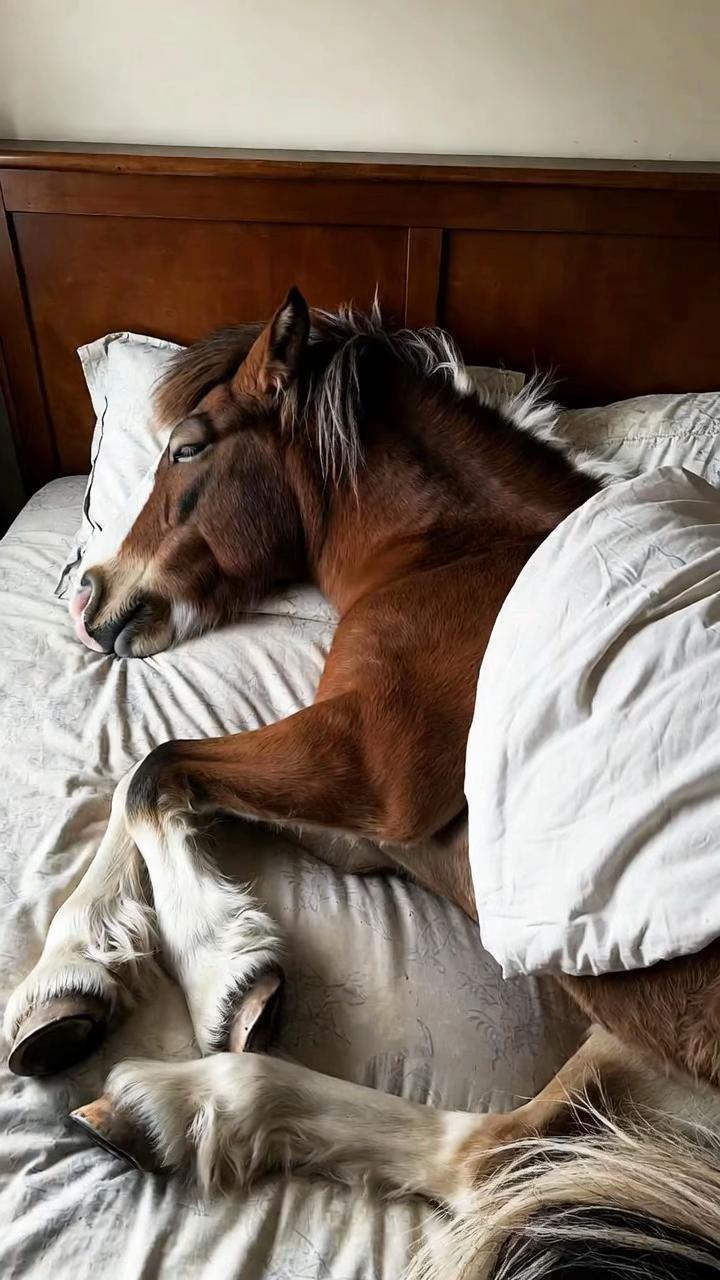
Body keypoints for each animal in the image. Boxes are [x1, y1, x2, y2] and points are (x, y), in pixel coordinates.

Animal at [6, 289, 720, 1277]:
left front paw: (224, 972)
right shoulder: (379, 831)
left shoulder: (367, 765)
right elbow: (148, 777)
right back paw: (181, 1111)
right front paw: (67, 983)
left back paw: (180, 1098)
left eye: (187, 448)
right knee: (499, 1156)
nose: (89, 599)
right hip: (648, 1043)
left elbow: (151, 769)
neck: (453, 554)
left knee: (499, 1160)